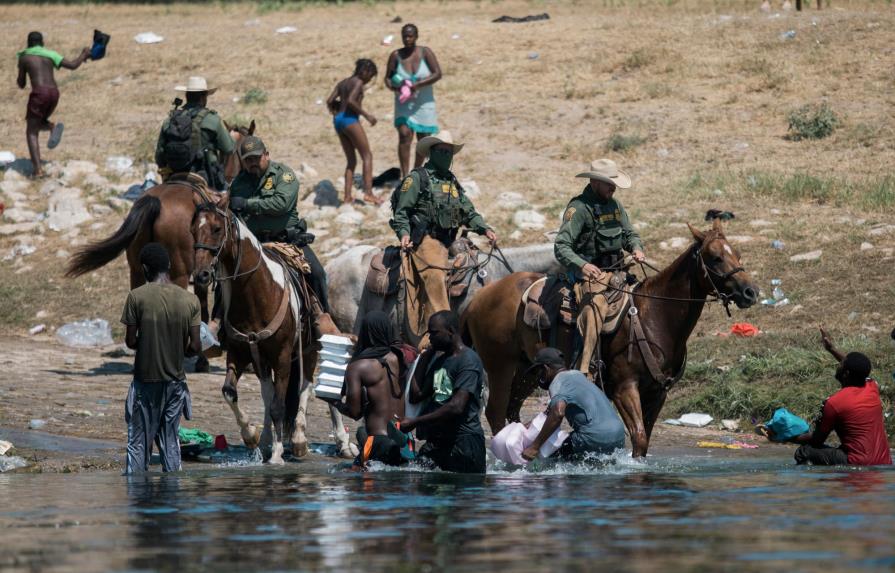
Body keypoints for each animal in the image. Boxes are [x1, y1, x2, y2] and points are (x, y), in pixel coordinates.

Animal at [65, 122, 254, 370]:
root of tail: (153, 201)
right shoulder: (199, 273)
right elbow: (201, 309)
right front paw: (202, 359)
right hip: (179, 272)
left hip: (137, 268)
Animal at [192, 194, 354, 462]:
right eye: (193, 229)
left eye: (216, 229)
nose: (201, 275)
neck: (257, 291)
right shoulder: (242, 353)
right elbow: (232, 392)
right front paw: (253, 436)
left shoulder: (282, 355)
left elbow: (279, 405)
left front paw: (277, 453)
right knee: (277, 392)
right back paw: (276, 439)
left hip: (312, 348)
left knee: (309, 387)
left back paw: (322, 441)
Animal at [466, 219, 760, 456]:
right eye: (715, 258)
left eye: (738, 253)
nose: (751, 292)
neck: (655, 316)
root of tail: (479, 297)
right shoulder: (624, 388)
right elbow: (639, 438)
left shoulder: (658, 393)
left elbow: (644, 441)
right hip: (500, 366)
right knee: (495, 411)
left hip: (528, 370)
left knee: (511, 409)